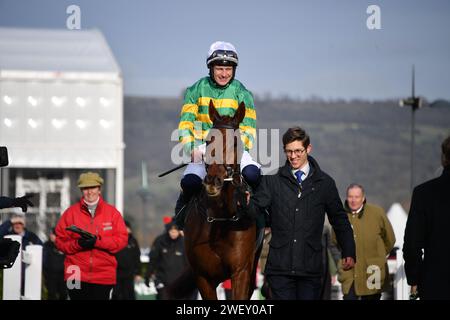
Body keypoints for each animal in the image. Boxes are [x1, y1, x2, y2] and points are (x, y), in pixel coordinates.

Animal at [183, 100, 264, 300]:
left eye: (235, 142)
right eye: (208, 140)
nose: (213, 180)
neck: (221, 220)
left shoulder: (241, 272)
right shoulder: (203, 277)